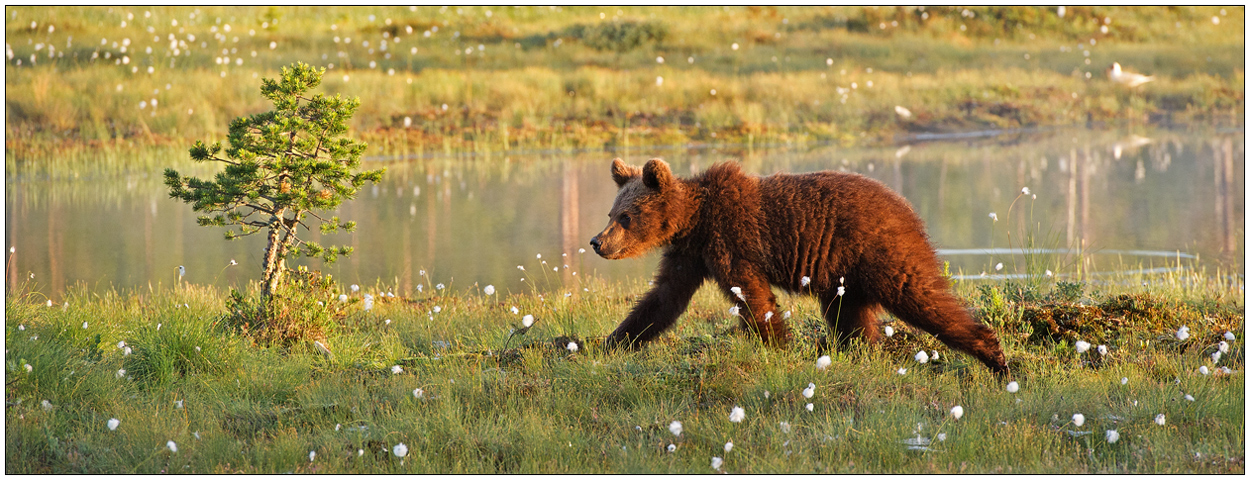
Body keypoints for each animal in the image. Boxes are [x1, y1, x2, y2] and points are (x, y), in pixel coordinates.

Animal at [590, 158, 1010, 375]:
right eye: (612, 213)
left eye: (625, 216)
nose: (597, 242)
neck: (696, 221)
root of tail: (908, 208)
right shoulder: (689, 255)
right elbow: (662, 300)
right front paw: (610, 344)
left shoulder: (732, 241)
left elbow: (753, 296)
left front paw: (778, 346)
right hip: (845, 275)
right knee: (851, 316)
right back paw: (861, 353)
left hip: (880, 252)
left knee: (920, 296)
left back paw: (994, 355)